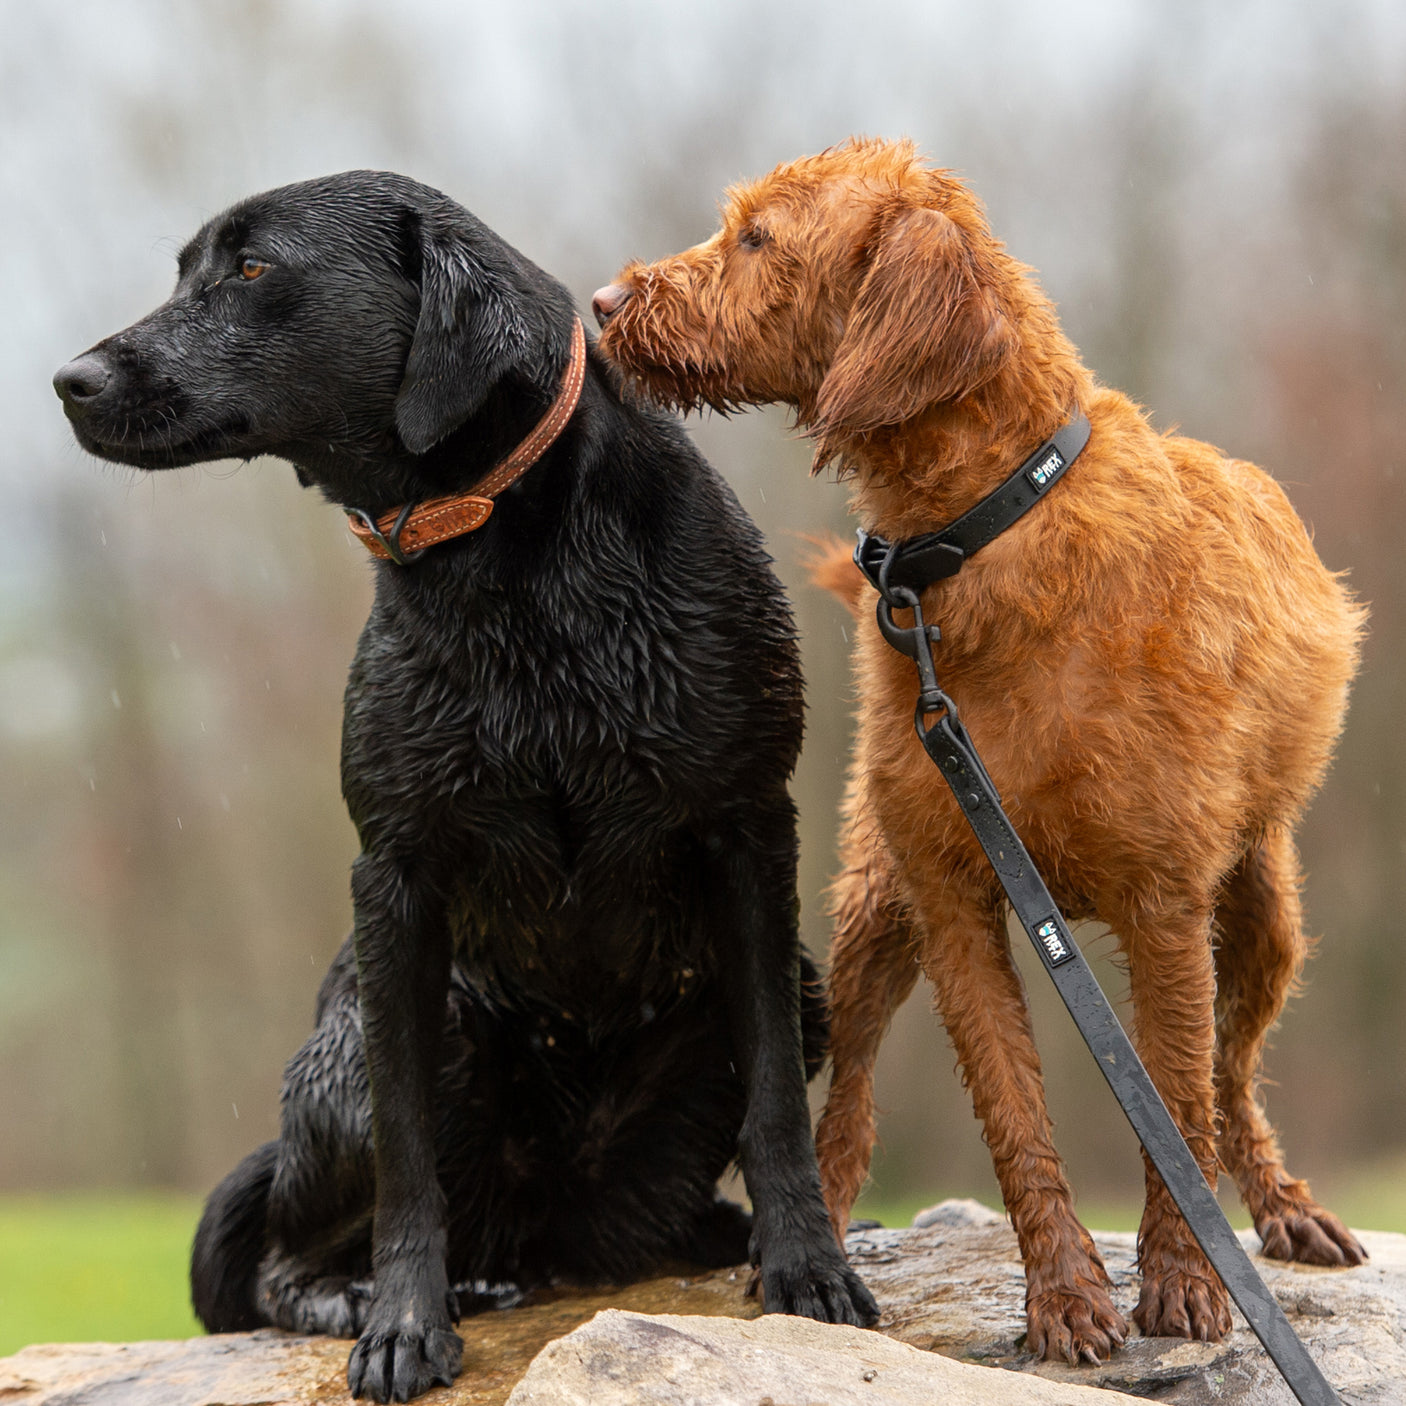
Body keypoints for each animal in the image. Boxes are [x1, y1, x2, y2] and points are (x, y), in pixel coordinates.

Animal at [57, 172, 877, 1394]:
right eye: (183, 270)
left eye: (251, 269)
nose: (70, 378)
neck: (508, 562)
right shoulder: (396, 875)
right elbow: (409, 1157)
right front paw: (404, 1321)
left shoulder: (746, 830)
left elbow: (777, 1099)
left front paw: (807, 1266)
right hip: (420, 1023)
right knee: (284, 1259)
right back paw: (379, 1291)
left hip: (796, 989)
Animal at [598, 139, 1366, 1361]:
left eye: (759, 237)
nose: (602, 301)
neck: (979, 538)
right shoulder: (954, 899)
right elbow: (1012, 1116)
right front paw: (1064, 1297)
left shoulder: (1165, 909)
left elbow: (1177, 1106)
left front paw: (1183, 1282)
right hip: (872, 908)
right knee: (850, 1091)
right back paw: (816, 1230)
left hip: (1260, 918)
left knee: (1235, 1081)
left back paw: (1282, 1207)